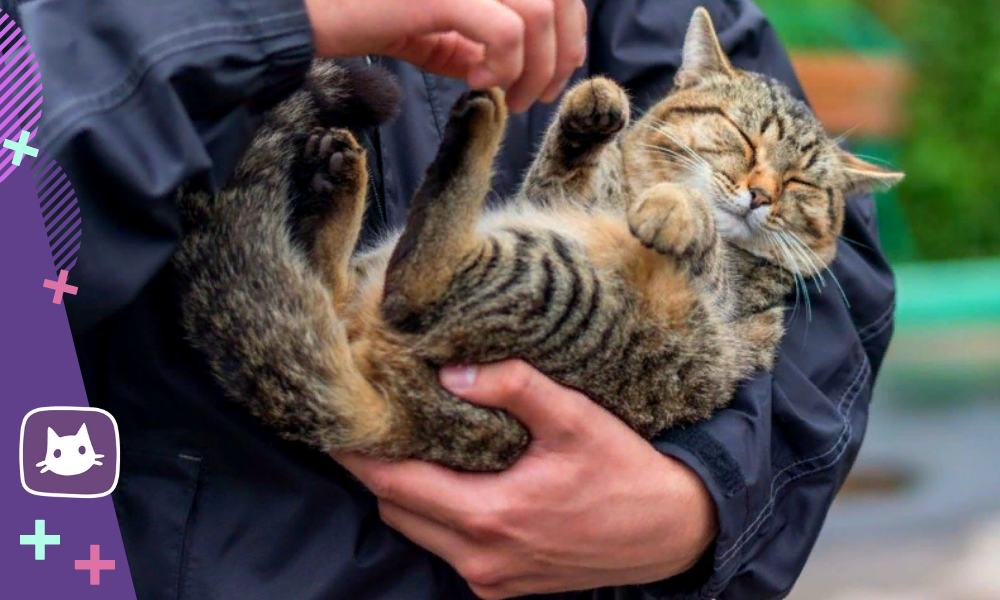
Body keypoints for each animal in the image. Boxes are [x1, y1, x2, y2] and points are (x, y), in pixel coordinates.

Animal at [174, 7, 908, 472]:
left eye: (801, 184)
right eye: (744, 137)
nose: (760, 195)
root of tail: (410, 425)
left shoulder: (726, 301)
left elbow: (697, 232)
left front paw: (675, 211)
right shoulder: (558, 193)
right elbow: (565, 160)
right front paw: (596, 105)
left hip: (560, 284)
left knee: (414, 282)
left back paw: (477, 123)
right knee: (329, 286)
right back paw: (342, 177)